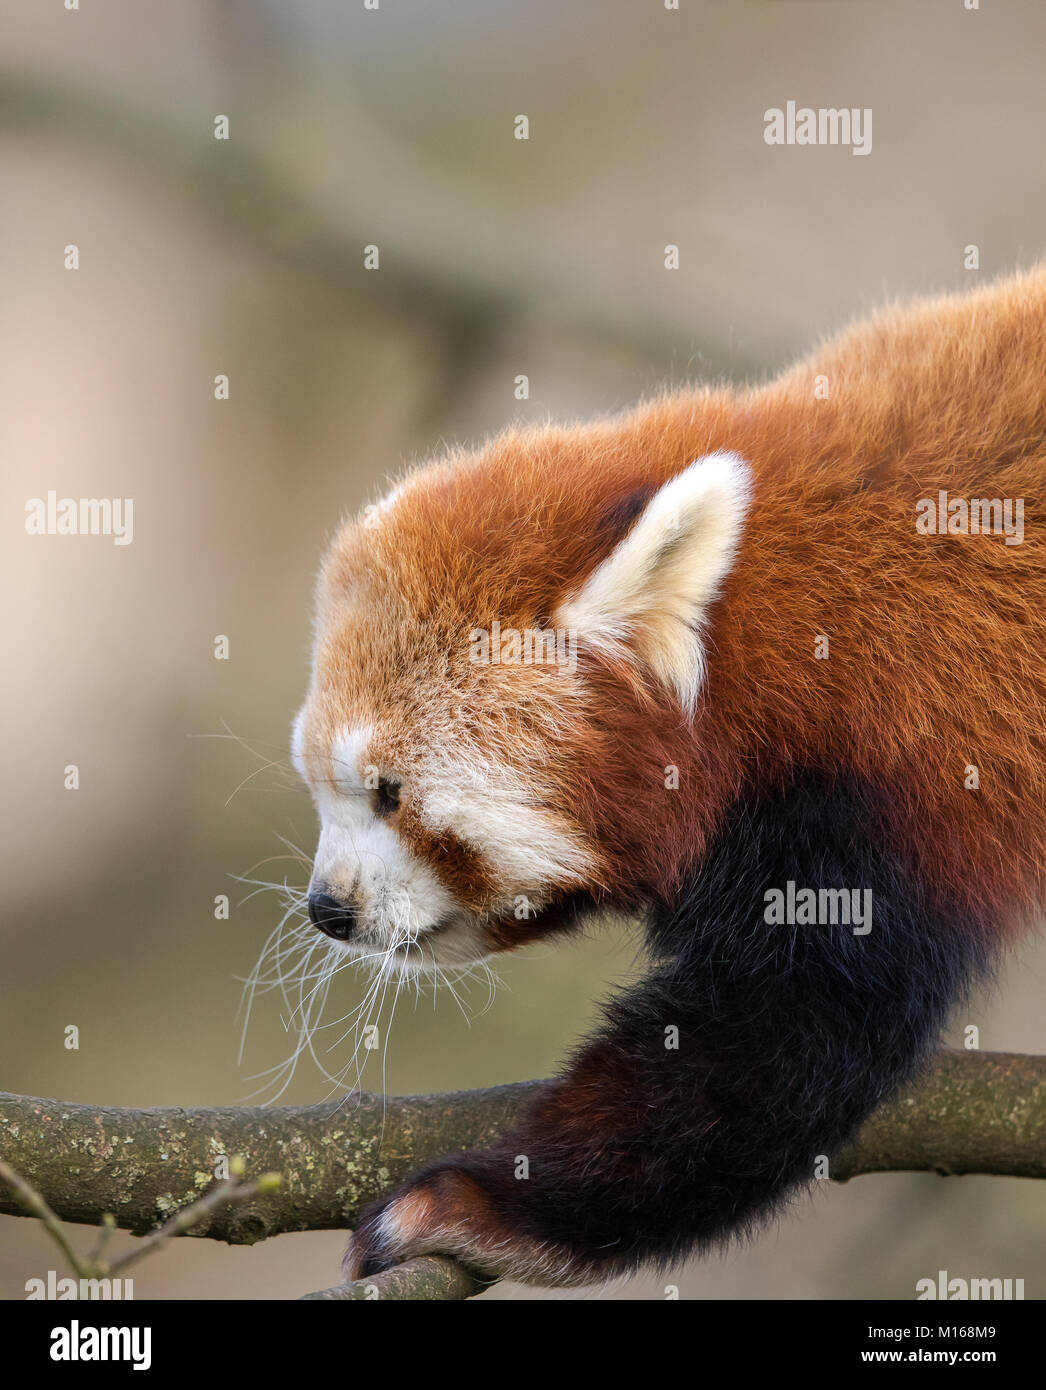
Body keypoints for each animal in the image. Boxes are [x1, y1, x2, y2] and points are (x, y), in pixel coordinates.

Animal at [290, 271, 1044, 1289]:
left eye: (388, 793)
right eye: (322, 785)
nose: (327, 908)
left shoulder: (895, 769)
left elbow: (787, 1037)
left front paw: (475, 1204)